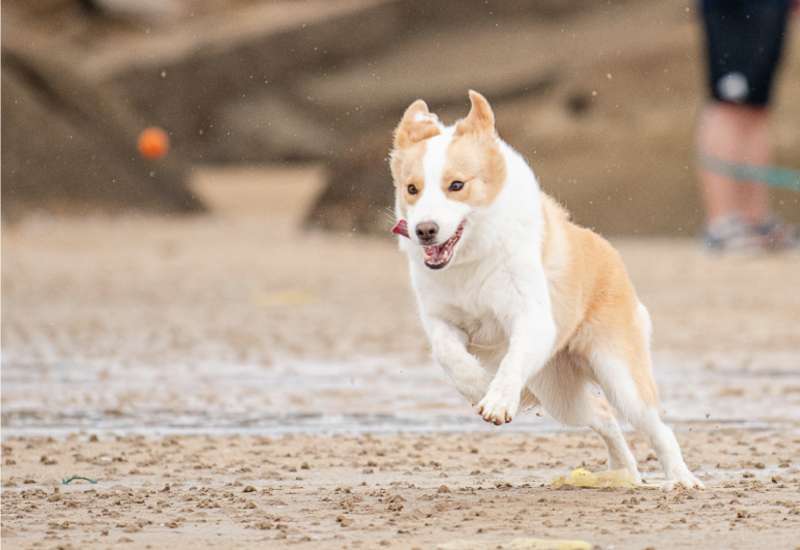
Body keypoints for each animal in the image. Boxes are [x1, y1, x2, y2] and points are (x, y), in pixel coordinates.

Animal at [390, 90, 704, 492]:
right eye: (411, 189)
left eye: (457, 185)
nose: (425, 231)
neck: (470, 259)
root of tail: (610, 253)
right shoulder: (441, 321)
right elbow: (451, 356)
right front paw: (480, 386)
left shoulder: (532, 319)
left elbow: (511, 363)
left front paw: (498, 400)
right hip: (558, 393)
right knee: (602, 413)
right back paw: (624, 471)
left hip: (620, 375)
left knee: (655, 425)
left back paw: (681, 478)